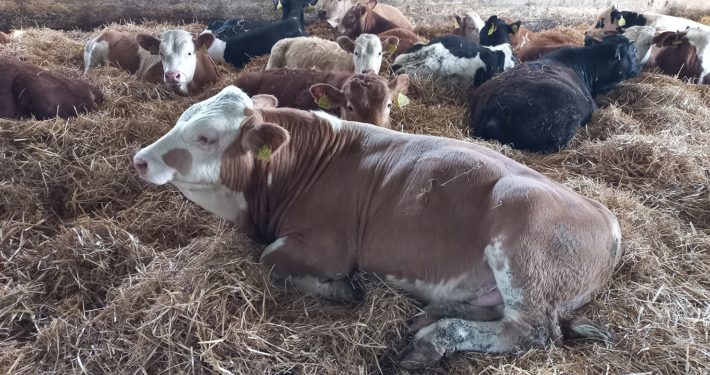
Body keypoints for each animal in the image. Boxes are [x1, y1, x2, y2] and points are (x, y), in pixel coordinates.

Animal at [134, 86, 624, 372]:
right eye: (182, 118)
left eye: (206, 137)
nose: (140, 159)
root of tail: (608, 221)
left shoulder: (328, 247)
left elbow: (269, 258)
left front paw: (339, 289)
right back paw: (430, 316)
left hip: (521, 240)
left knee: (531, 331)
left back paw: (433, 340)